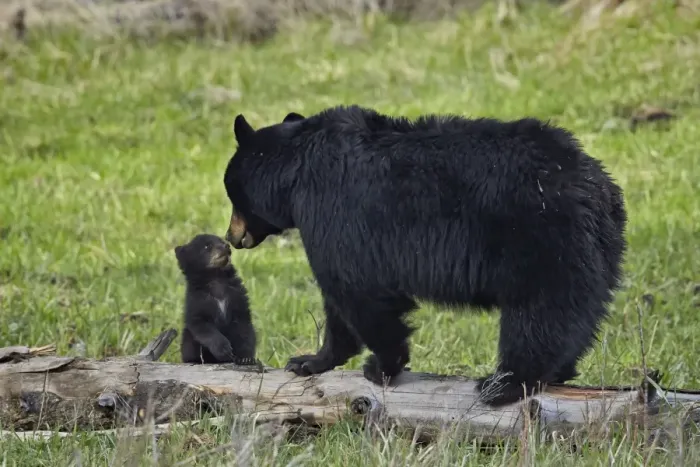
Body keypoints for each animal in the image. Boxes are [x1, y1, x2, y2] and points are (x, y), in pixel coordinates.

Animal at [174, 233, 258, 366]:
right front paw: (224, 350)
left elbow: (244, 327)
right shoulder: (198, 301)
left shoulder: (236, 296)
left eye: (221, 240)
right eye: (207, 246)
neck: (216, 278)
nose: (226, 246)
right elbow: (201, 325)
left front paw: (246, 358)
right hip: (188, 338)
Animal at [221, 105, 627, 407]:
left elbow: (358, 290)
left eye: (232, 194)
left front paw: (381, 366)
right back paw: (557, 372)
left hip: (542, 242)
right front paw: (309, 361)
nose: (231, 237)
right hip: (599, 252)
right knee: (575, 314)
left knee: (539, 314)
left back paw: (502, 383)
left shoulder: (334, 213)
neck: (297, 169)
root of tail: (598, 188)